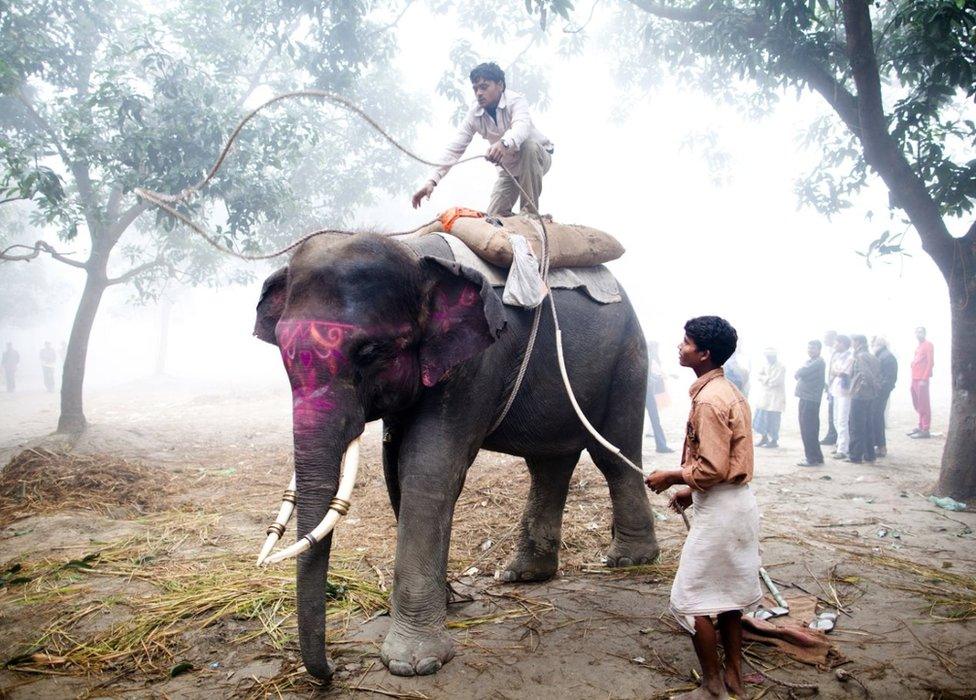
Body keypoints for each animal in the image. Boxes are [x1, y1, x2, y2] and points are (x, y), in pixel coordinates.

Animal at [255, 232, 660, 680]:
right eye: (283, 352)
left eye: (371, 351)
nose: (332, 672)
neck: (414, 254)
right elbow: (395, 468)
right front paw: (446, 604)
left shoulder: (477, 362)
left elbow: (428, 467)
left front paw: (413, 663)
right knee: (548, 464)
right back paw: (523, 574)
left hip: (629, 358)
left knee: (612, 451)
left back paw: (629, 560)